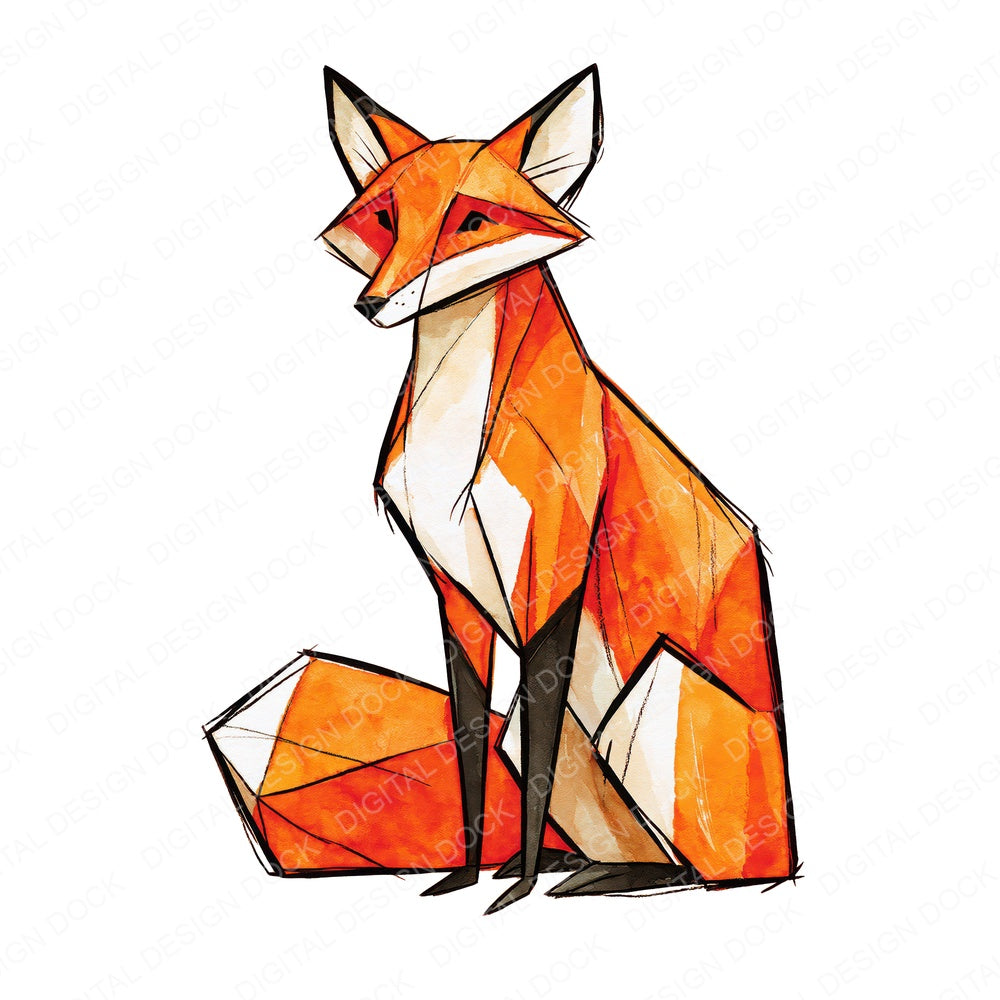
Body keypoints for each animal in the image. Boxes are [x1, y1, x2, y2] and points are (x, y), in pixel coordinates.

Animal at [318, 64, 797, 913]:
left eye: (472, 220)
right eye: (385, 218)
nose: (371, 303)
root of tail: (788, 851)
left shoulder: (554, 579)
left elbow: (532, 765)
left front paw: (511, 893)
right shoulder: (454, 592)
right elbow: (472, 744)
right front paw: (468, 875)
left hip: (646, 698)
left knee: (699, 870)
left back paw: (607, 879)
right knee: (628, 842)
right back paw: (591, 870)